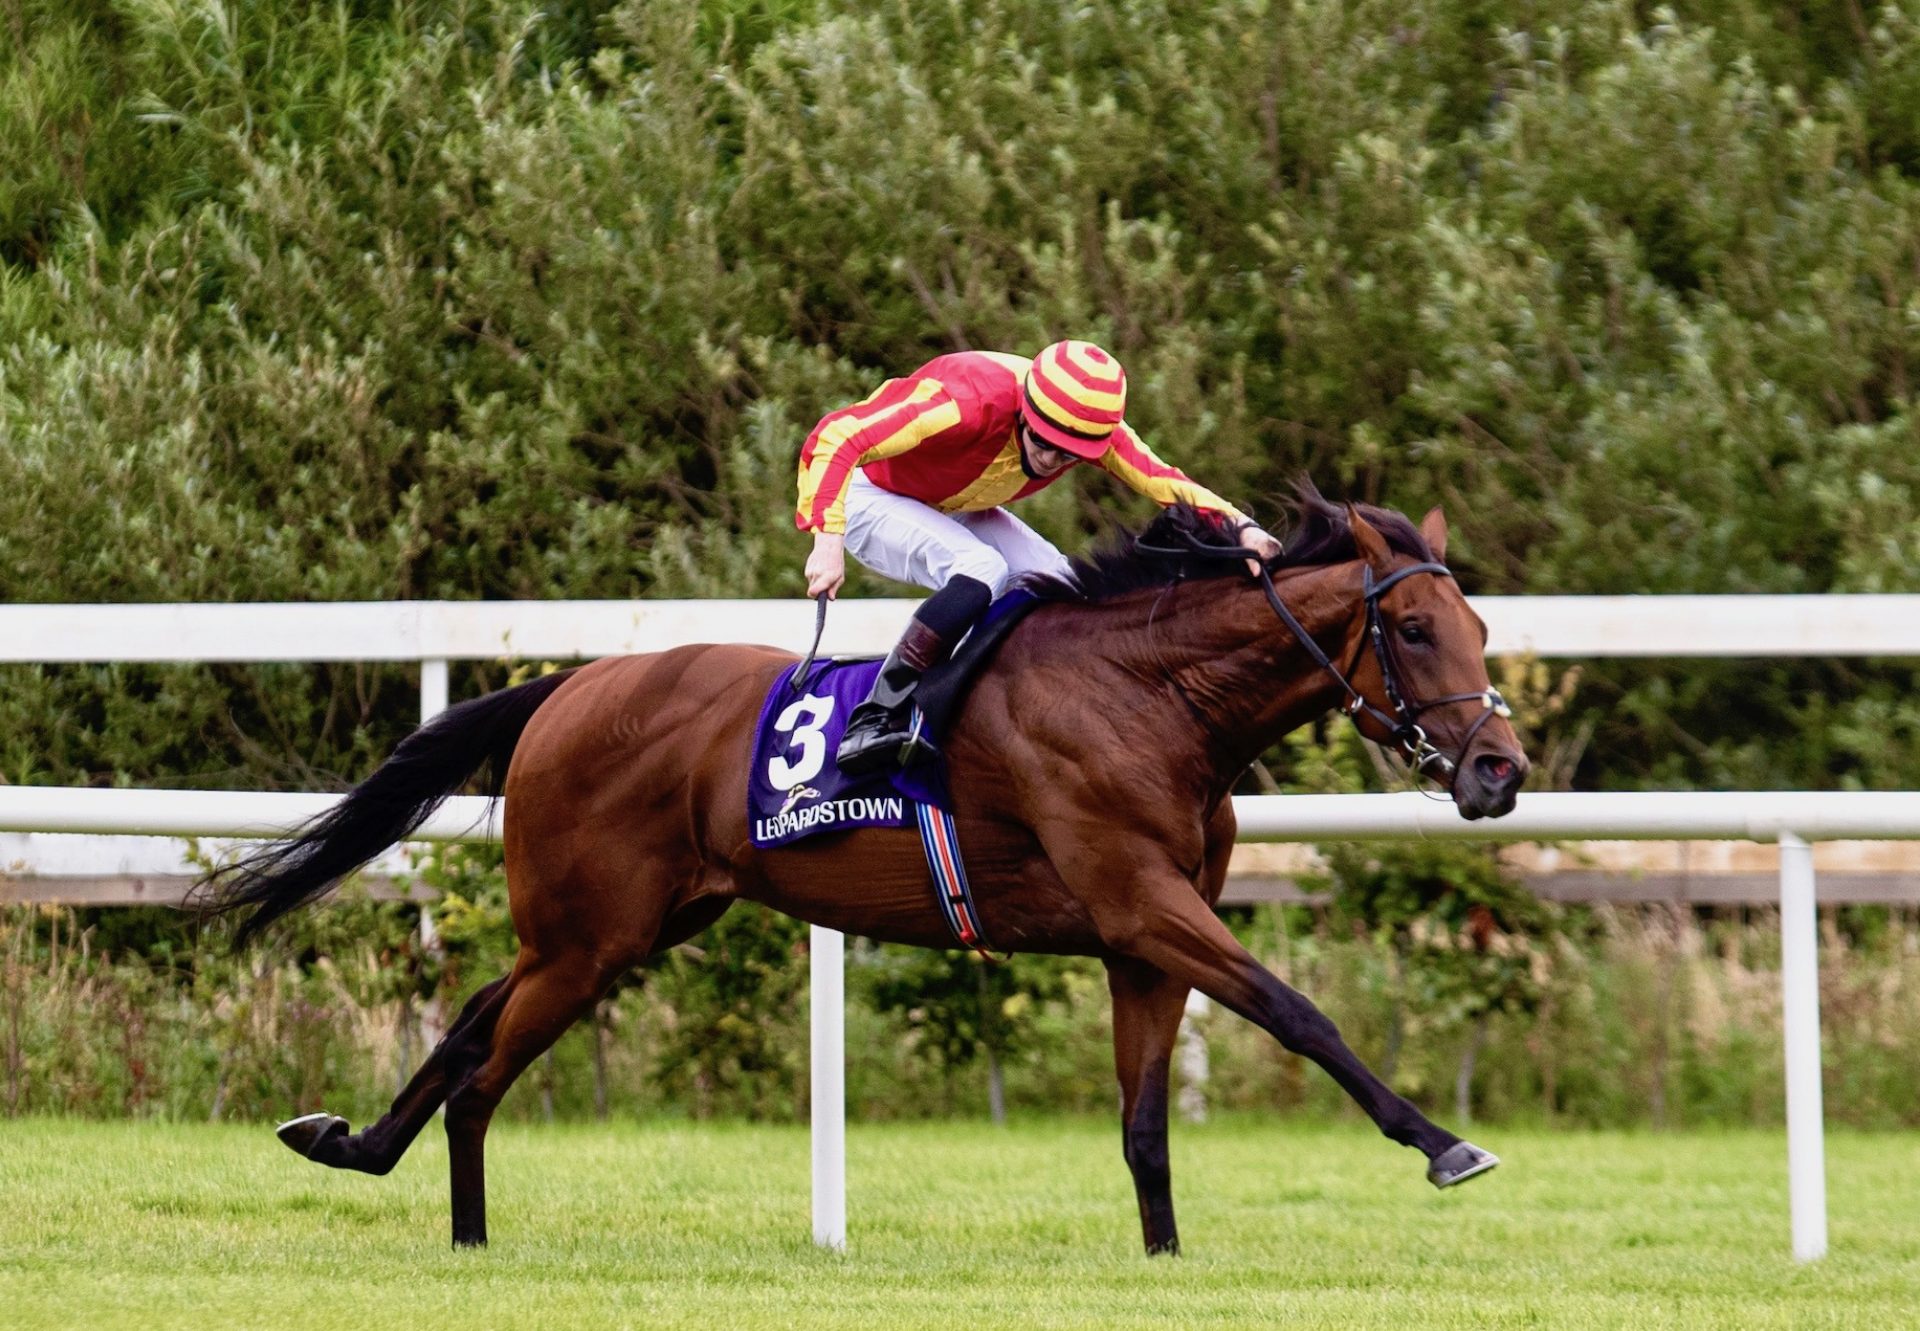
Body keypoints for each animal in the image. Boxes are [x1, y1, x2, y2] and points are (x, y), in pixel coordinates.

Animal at [206, 482, 1528, 1252]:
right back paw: (467, 1234)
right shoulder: (1143, 902)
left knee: (476, 1014)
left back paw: (352, 1142)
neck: (1155, 697)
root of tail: (566, 687)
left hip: (625, 922)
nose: (1499, 768)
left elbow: (1145, 1122)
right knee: (486, 1069)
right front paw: (1444, 1142)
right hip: (592, 937)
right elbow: (1301, 1011)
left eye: (1480, 628)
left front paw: (1164, 1260)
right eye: (1416, 628)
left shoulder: (1140, 940)